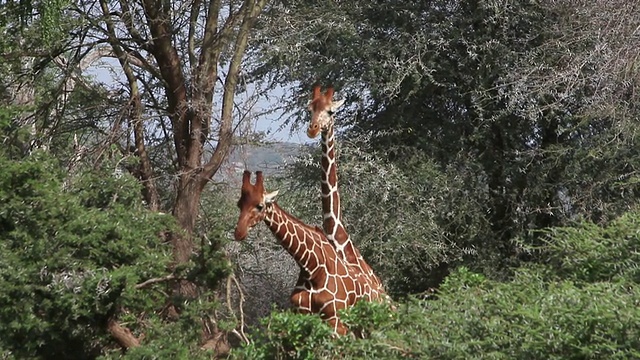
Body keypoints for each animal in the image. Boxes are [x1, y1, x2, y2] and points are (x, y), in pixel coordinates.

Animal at [235, 171, 384, 334]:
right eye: (239, 204)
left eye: (260, 206)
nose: (239, 232)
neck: (312, 267)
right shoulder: (301, 316)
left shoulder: (335, 321)